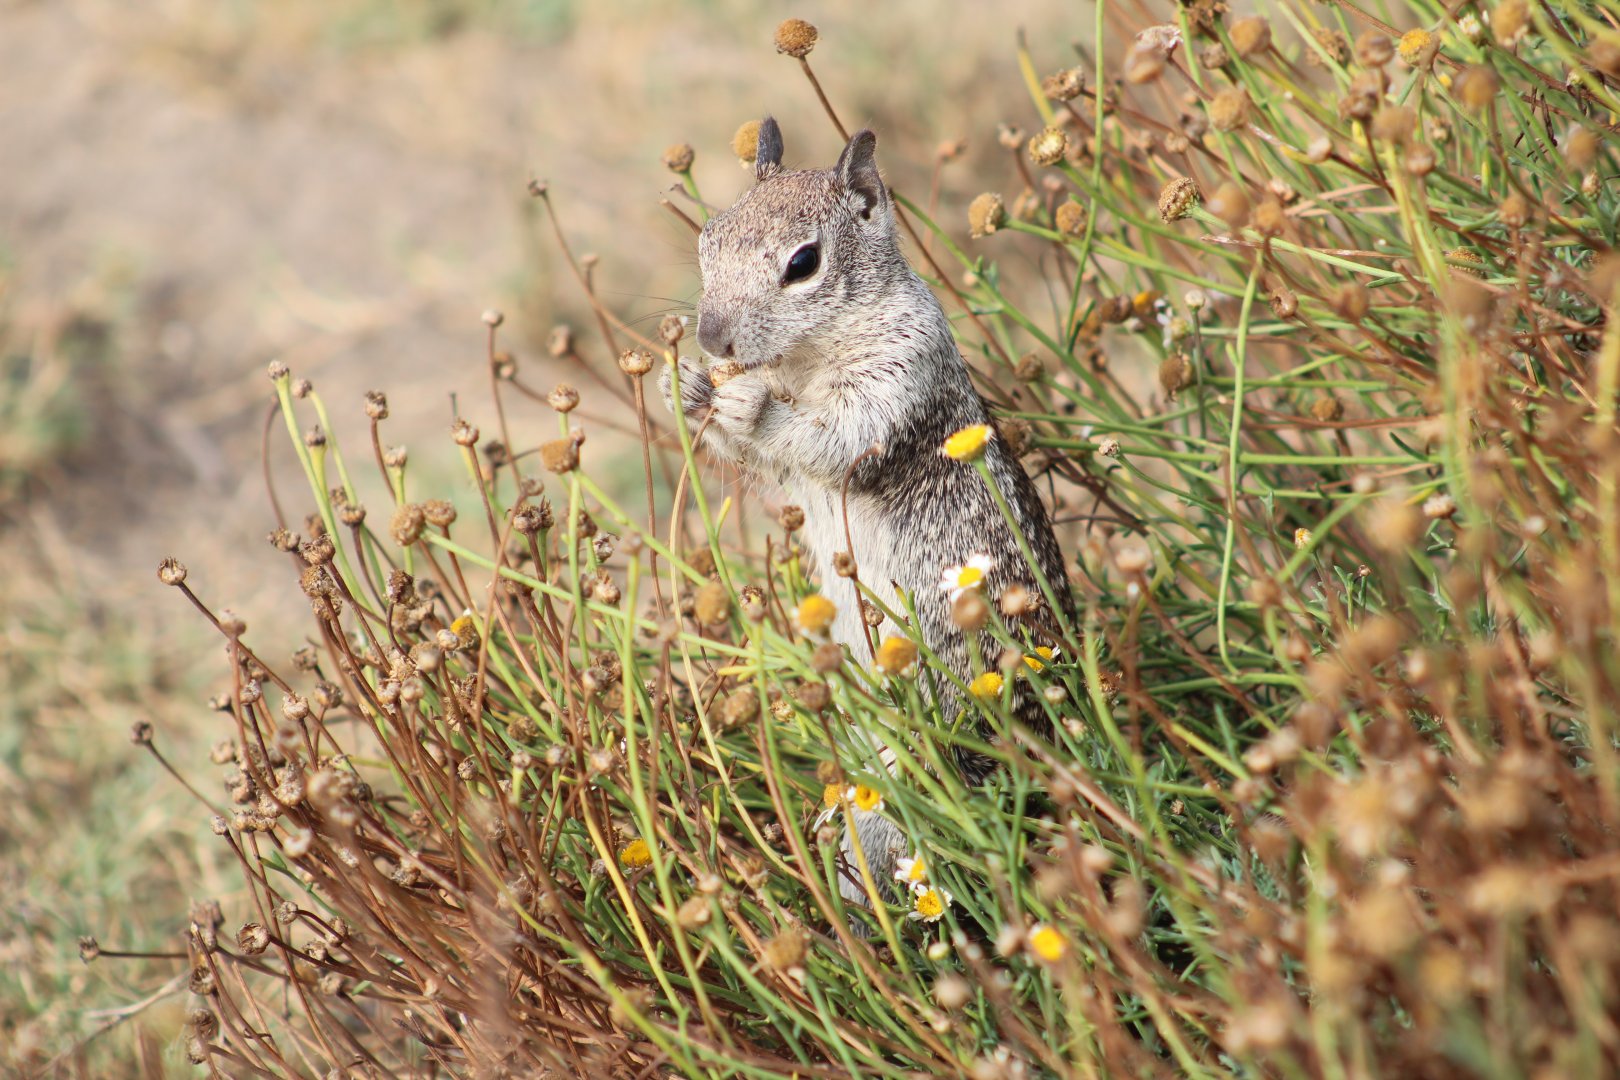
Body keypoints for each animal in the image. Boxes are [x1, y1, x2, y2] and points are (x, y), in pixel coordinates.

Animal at [661, 118, 1073, 915]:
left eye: (803, 263)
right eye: (705, 240)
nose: (712, 339)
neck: (801, 363)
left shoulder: (899, 374)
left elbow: (835, 435)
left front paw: (746, 405)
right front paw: (692, 391)